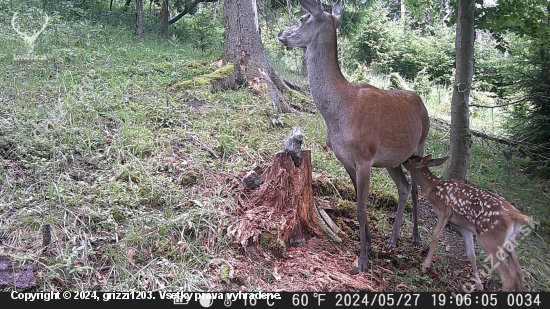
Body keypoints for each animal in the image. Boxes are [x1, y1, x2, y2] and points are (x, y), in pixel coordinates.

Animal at [280, 0, 432, 270]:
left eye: (304, 18)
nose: (280, 34)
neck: (339, 112)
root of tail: (420, 101)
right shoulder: (347, 159)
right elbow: (359, 204)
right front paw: (369, 244)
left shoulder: (364, 157)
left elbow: (361, 208)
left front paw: (363, 260)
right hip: (392, 159)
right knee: (403, 187)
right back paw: (392, 239)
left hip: (419, 145)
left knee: (415, 188)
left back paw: (415, 238)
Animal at [404, 155, 532, 290]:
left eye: (410, 159)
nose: (403, 160)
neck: (432, 187)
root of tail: (517, 216)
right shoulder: (464, 227)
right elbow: (471, 254)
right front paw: (479, 285)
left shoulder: (445, 210)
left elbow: (436, 234)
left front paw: (425, 266)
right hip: (509, 243)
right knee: (518, 272)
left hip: (490, 241)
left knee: (508, 276)